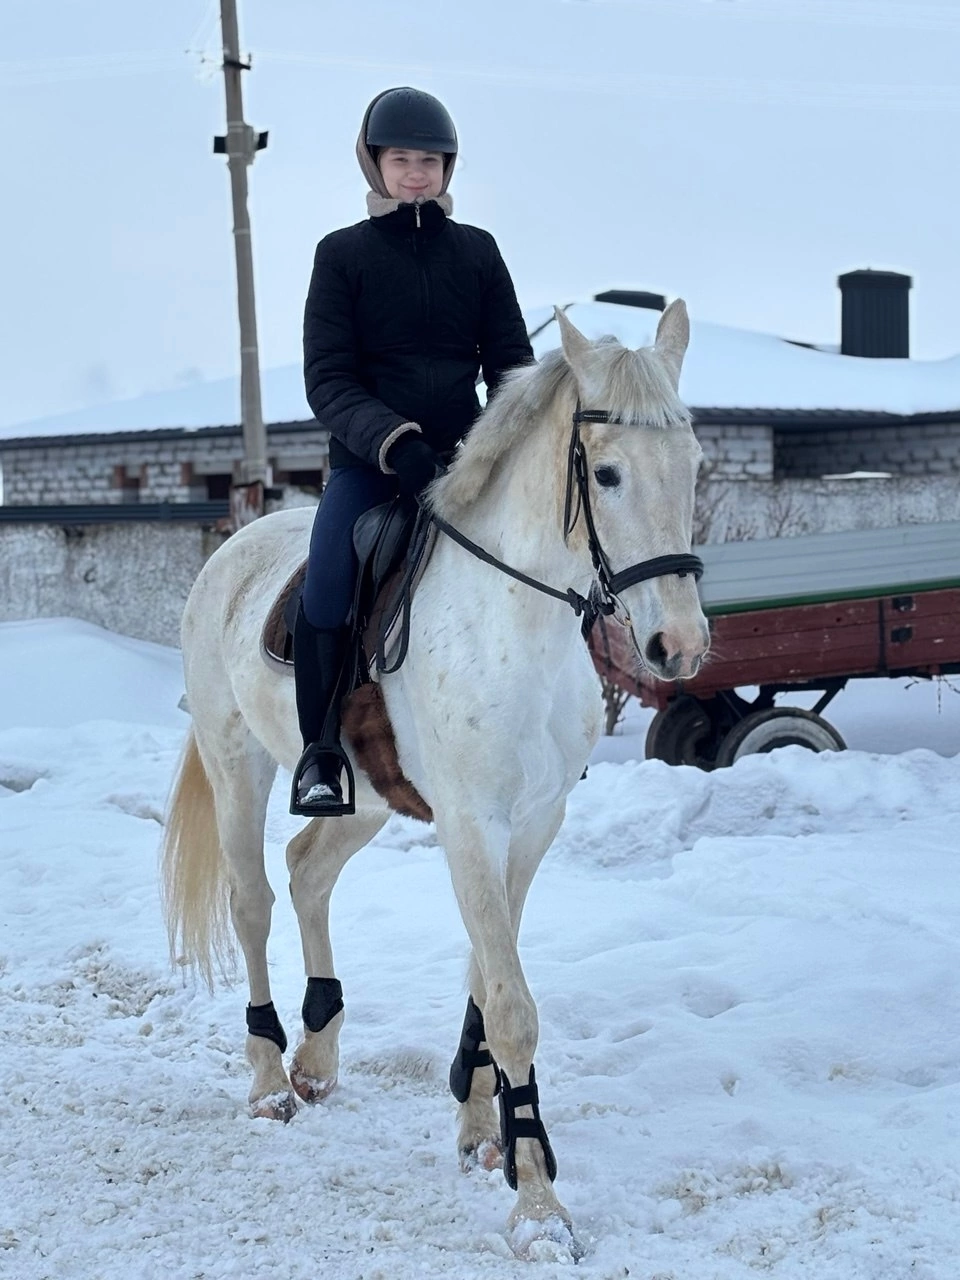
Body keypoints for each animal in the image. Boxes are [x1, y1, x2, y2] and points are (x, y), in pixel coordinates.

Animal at [161, 303, 710, 1259]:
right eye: (606, 473)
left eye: (694, 465)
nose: (678, 646)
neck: (516, 622)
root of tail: (233, 549)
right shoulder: (468, 824)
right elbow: (512, 1003)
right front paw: (539, 1210)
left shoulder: (531, 825)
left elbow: (489, 984)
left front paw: (485, 1135)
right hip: (238, 765)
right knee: (253, 901)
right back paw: (268, 1081)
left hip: (364, 801)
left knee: (307, 869)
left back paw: (317, 1058)